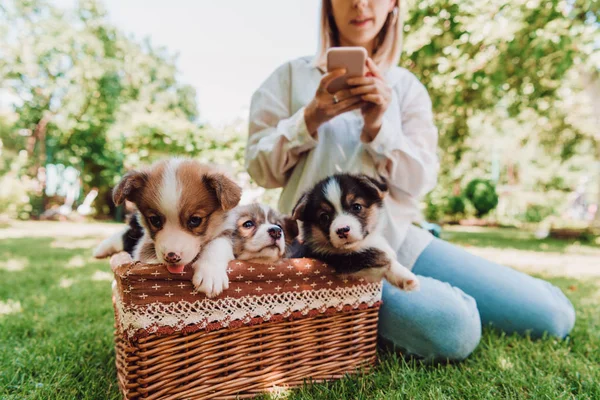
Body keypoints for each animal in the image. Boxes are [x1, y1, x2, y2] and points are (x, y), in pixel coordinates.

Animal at [93, 159, 241, 296]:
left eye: (195, 220)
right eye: (155, 220)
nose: (172, 257)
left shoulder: (228, 230)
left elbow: (218, 244)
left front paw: (210, 274)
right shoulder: (144, 246)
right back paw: (100, 250)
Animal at [290, 173, 418, 290]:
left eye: (356, 207)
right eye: (324, 217)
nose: (342, 230)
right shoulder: (341, 260)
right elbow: (377, 256)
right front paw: (406, 276)